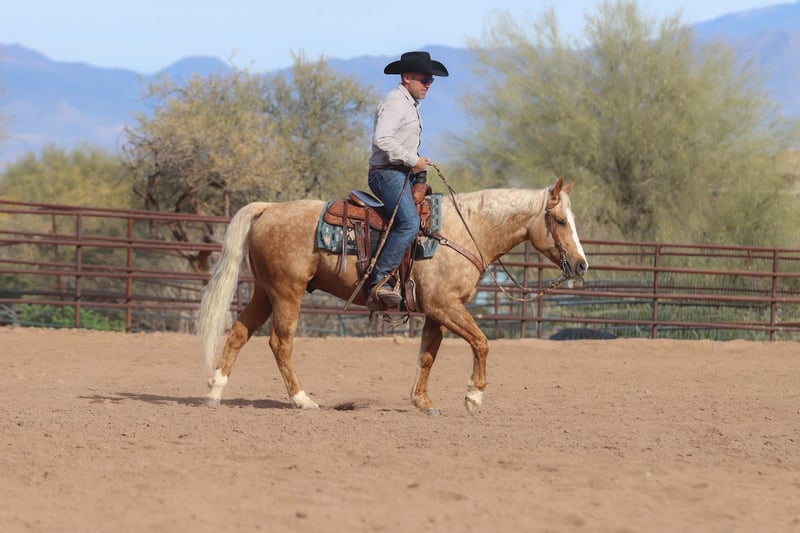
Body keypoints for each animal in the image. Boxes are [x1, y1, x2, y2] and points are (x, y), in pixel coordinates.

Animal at [196, 177, 588, 415]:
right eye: (560, 221)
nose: (581, 265)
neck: (466, 231)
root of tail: (269, 208)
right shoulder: (446, 305)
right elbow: (481, 342)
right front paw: (473, 396)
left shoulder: (437, 311)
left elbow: (427, 355)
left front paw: (423, 401)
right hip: (286, 292)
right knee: (280, 343)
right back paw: (302, 400)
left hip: (264, 292)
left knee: (238, 333)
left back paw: (215, 392)